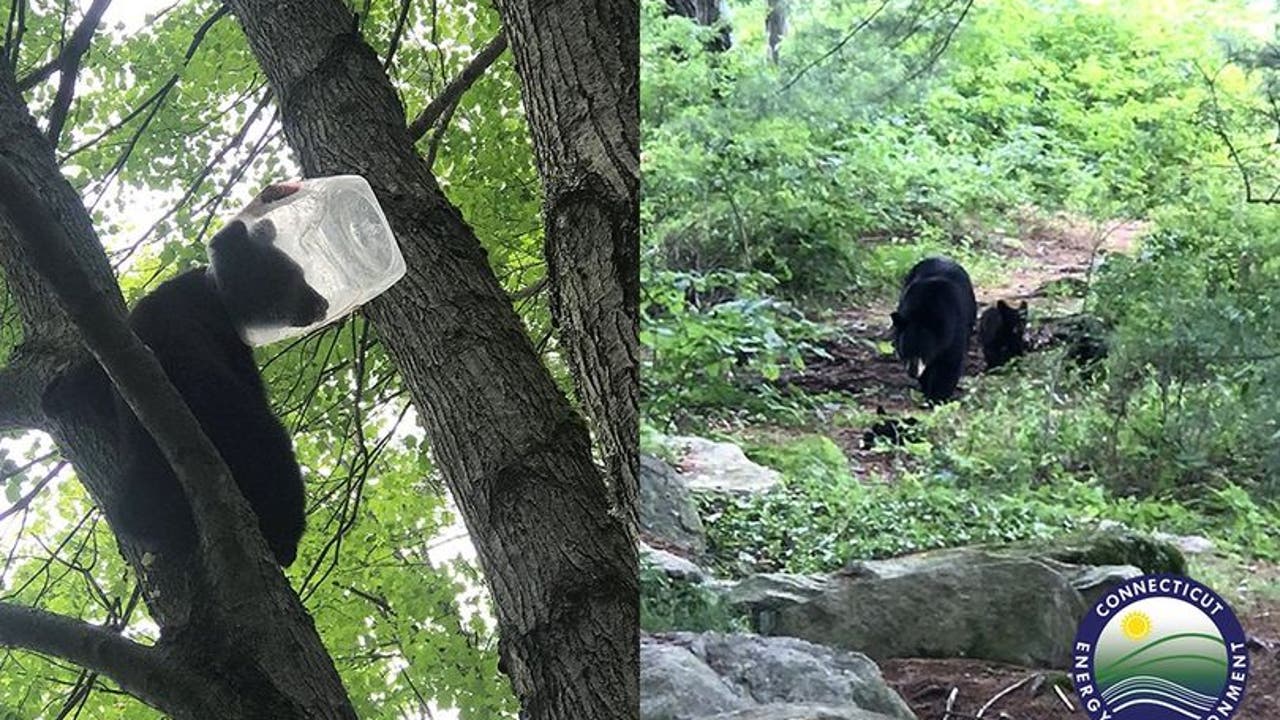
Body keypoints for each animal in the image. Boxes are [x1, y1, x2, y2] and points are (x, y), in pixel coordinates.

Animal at [890, 257, 977, 403]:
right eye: (905, 351)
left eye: (923, 352)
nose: (912, 373)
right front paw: (927, 392)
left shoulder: (954, 329)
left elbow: (949, 364)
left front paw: (938, 397)